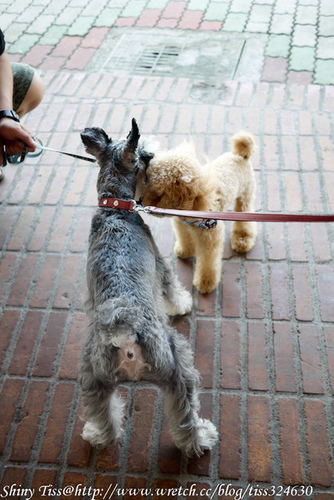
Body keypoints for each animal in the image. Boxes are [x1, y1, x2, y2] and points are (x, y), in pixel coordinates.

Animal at [79, 120, 219, 458]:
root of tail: (124, 330)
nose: (153, 153)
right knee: (185, 418)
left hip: (93, 378)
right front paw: (181, 304)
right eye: (144, 155)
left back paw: (96, 434)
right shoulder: (160, 264)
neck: (114, 206)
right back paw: (202, 437)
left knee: (103, 416)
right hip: (178, 368)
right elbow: (171, 287)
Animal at [137, 132, 258, 292]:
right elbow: (185, 238)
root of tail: (240, 156)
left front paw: (206, 282)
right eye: (147, 182)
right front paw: (185, 251)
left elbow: (208, 262)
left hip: (245, 196)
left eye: (159, 193)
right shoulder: (181, 225)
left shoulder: (210, 238)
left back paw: (242, 240)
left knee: (245, 217)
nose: (140, 202)